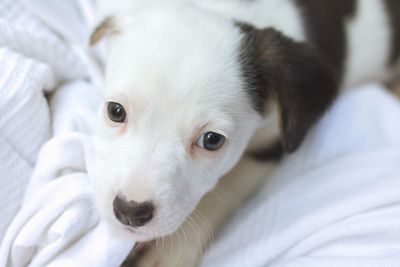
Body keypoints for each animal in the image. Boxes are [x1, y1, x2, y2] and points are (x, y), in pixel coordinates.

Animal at [90, 1, 400, 266]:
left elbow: (223, 190)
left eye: (212, 140)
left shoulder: (274, 142)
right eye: (116, 111)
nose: (130, 211)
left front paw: (171, 251)